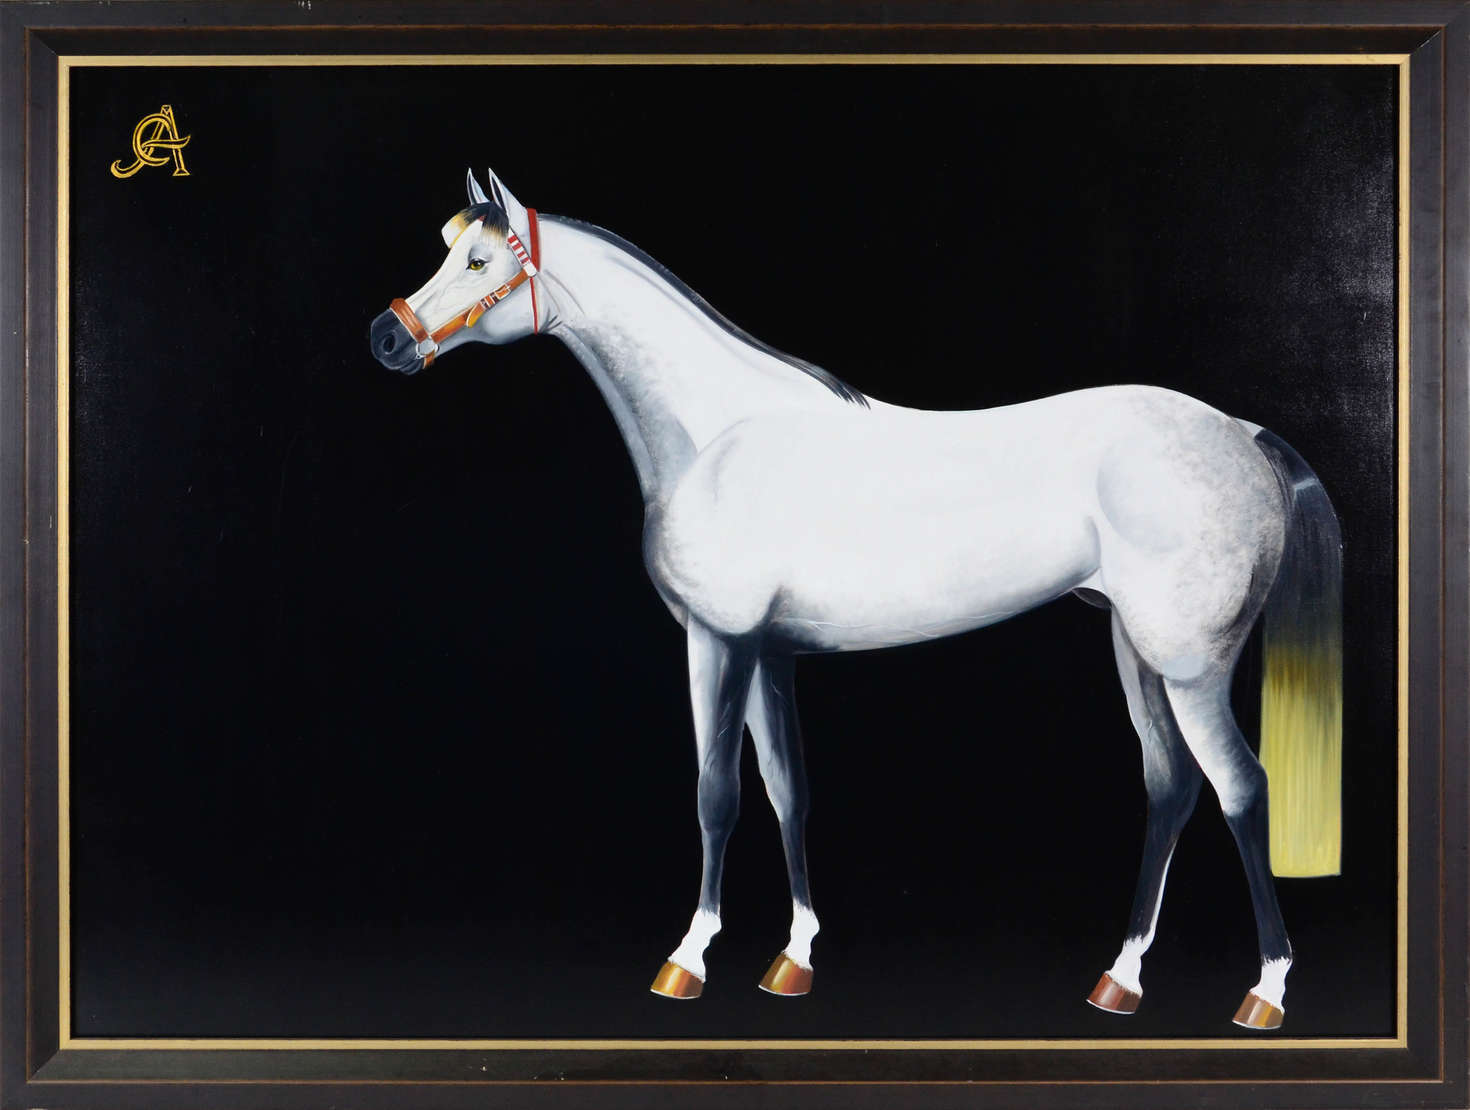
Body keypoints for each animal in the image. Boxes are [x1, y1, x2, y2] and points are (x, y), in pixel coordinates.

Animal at [369, 168, 1342, 1030]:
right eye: (451, 249)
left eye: (480, 261)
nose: (387, 336)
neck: (718, 436)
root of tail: (1242, 433)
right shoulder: (769, 653)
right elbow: (787, 790)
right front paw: (793, 959)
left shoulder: (716, 642)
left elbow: (717, 794)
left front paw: (687, 961)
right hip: (1136, 651)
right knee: (1171, 788)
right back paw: (1120, 980)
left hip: (1191, 666)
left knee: (1241, 788)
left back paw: (1266, 993)